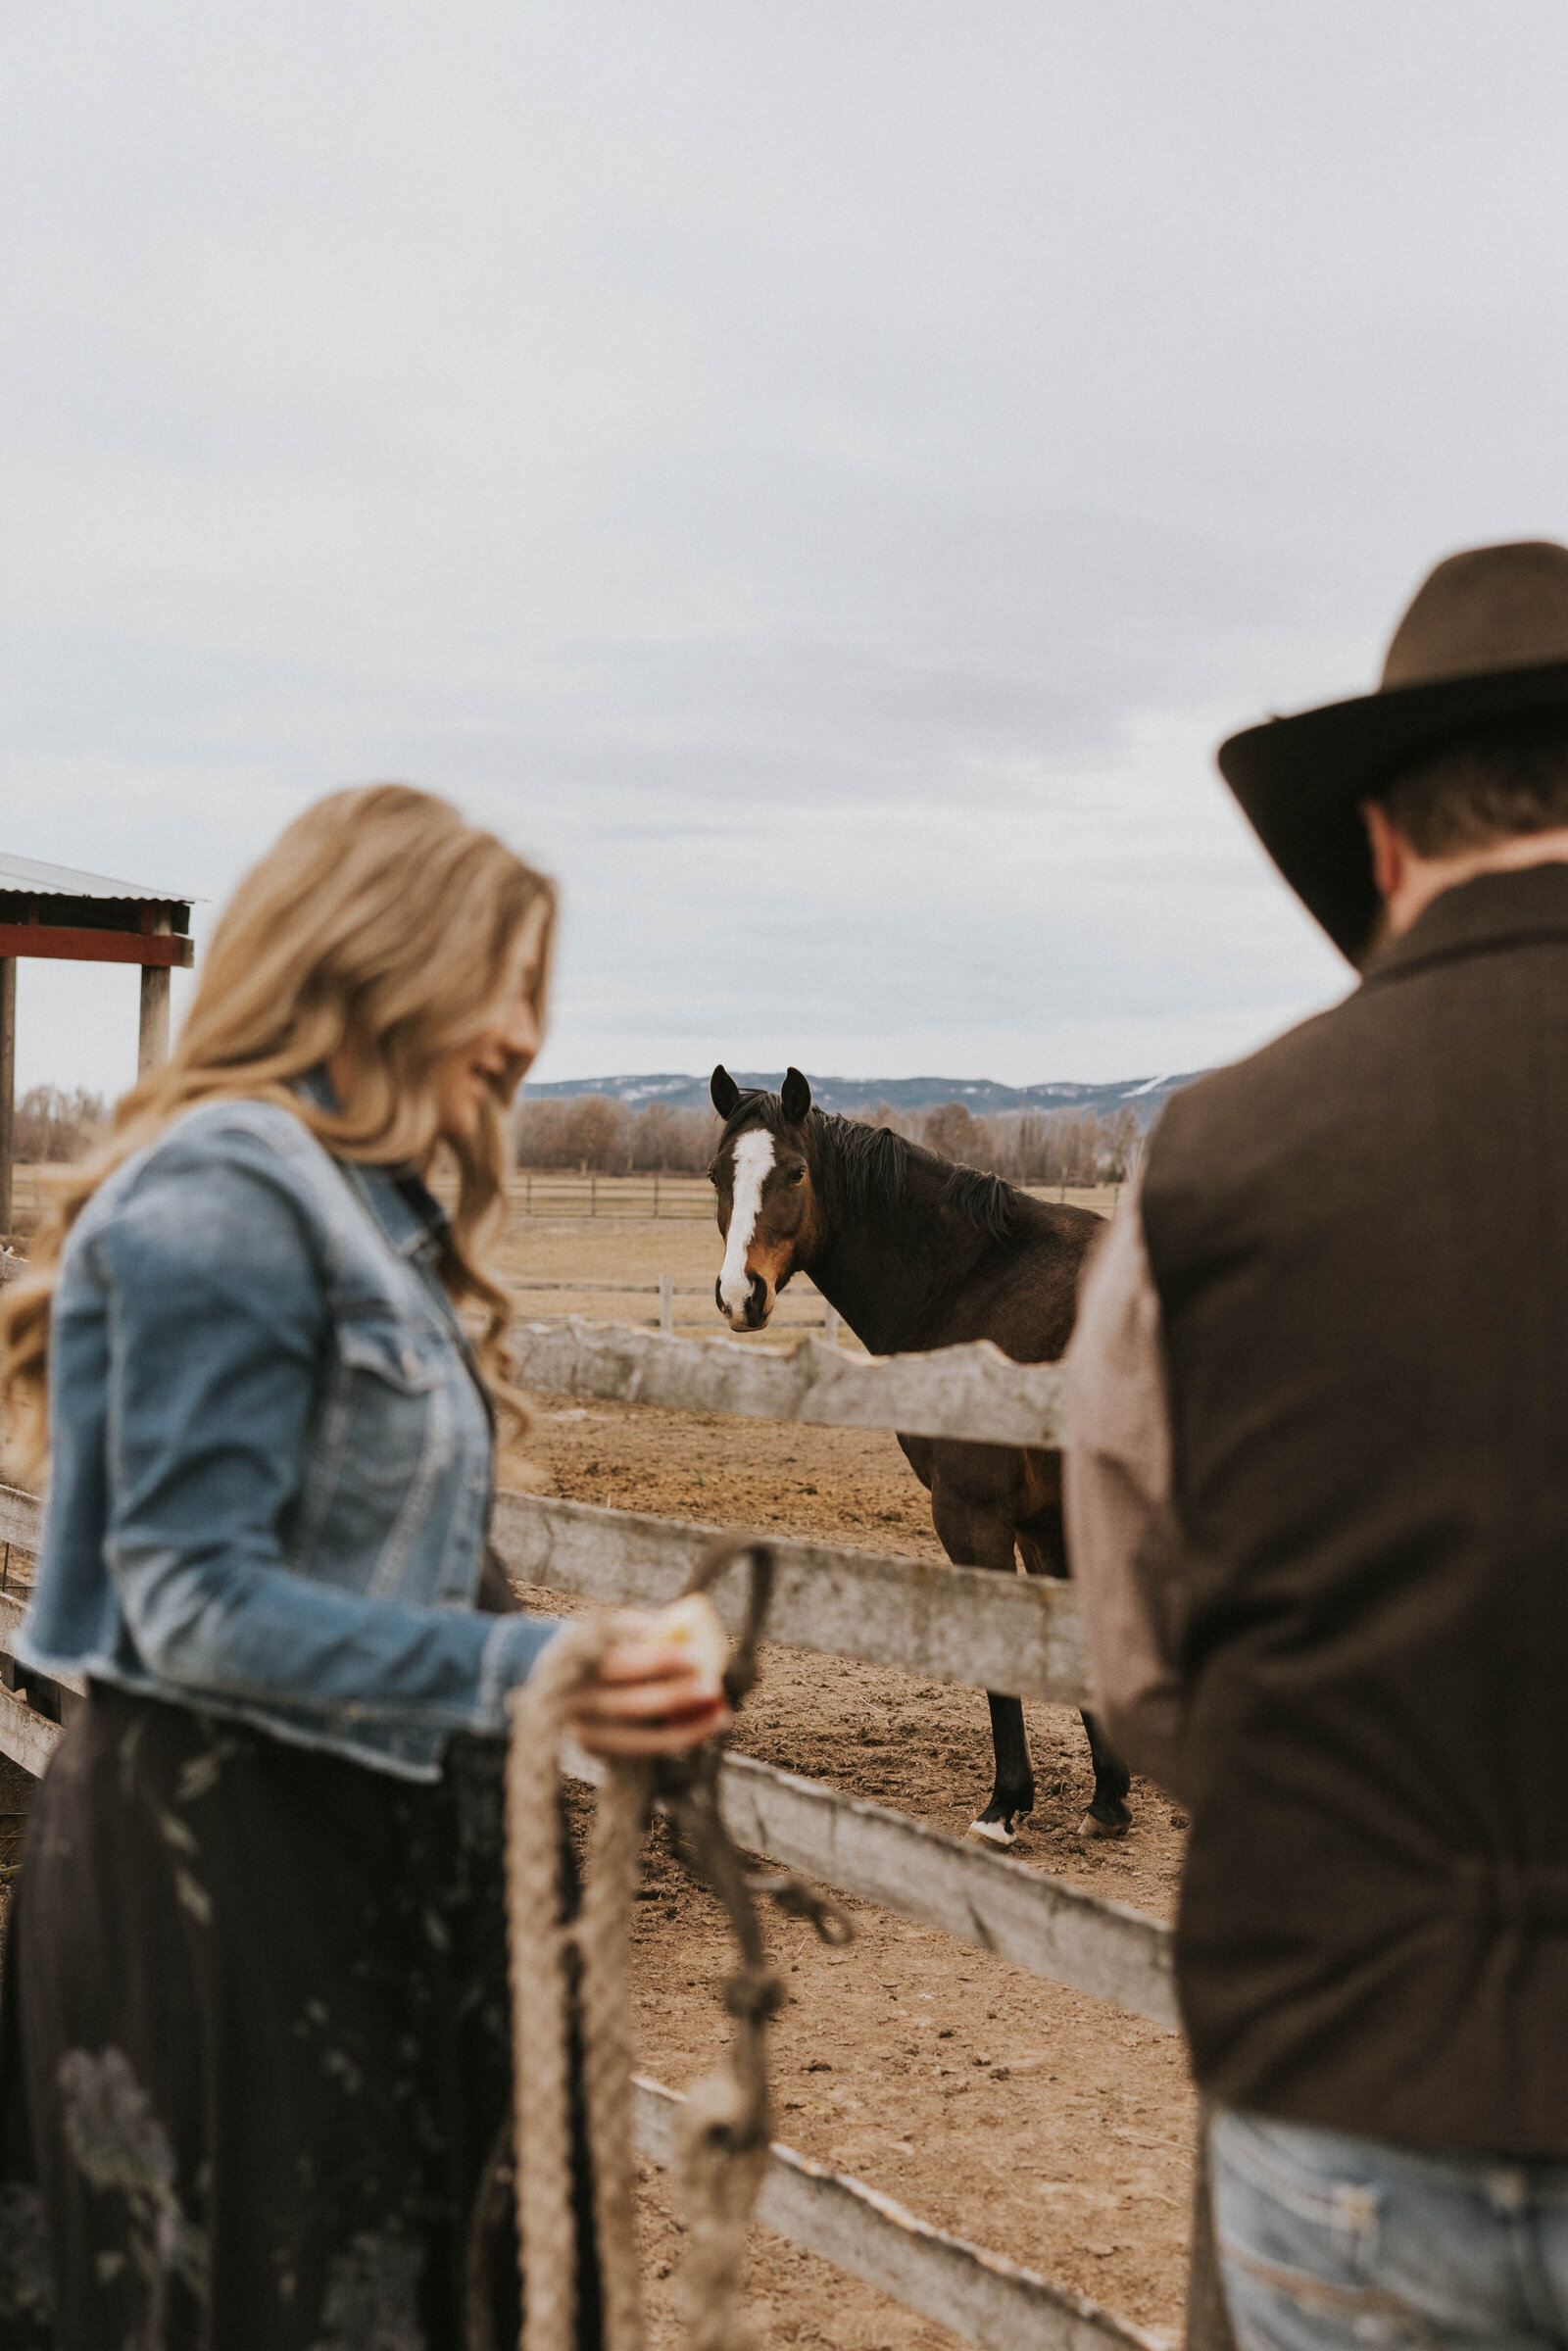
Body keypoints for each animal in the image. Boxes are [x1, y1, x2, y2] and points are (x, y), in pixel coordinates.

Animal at [710, 1057, 1128, 1842]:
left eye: (795, 1172)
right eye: (720, 1173)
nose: (739, 1293)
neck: (974, 1284)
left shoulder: (974, 1515)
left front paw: (1004, 1807)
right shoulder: (1045, 1522)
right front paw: (1109, 1796)